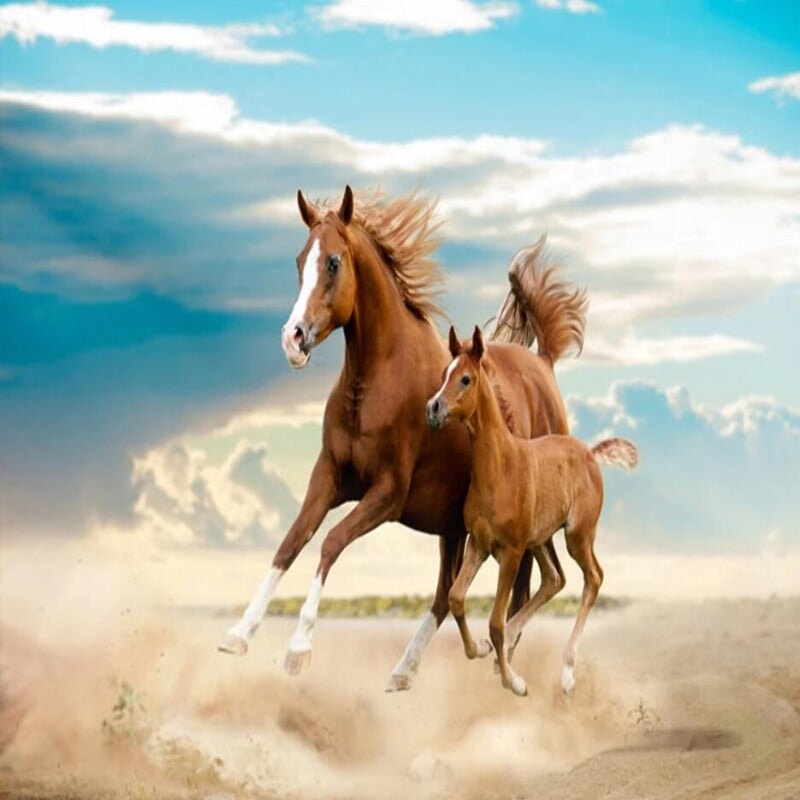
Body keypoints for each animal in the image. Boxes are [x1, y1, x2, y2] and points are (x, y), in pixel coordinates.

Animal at [218, 185, 588, 691]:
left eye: (332, 262)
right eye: (298, 260)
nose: (292, 340)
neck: (375, 382)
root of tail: (544, 362)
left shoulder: (388, 493)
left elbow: (330, 541)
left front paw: (298, 649)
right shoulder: (329, 477)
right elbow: (291, 542)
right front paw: (239, 634)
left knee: (525, 587)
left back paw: (502, 663)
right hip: (452, 527)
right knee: (446, 595)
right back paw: (406, 669)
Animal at [427, 325, 639, 696]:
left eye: (465, 379)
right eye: (444, 374)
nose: (433, 408)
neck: (499, 468)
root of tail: (590, 453)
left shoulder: (510, 552)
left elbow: (494, 621)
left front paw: (516, 683)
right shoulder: (478, 545)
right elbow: (456, 598)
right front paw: (479, 649)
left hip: (577, 536)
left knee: (593, 578)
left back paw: (566, 671)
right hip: (539, 539)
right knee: (554, 578)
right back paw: (508, 645)